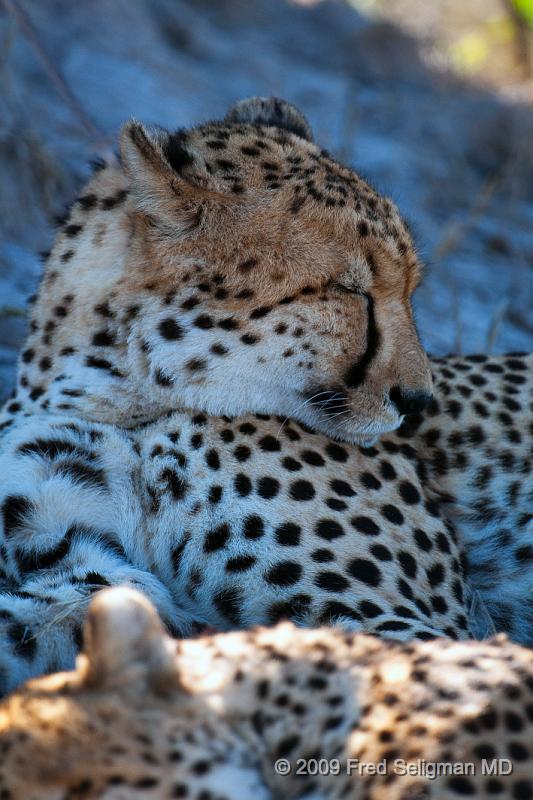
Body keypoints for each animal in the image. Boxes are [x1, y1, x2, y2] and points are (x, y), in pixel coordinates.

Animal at [0, 94, 528, 692]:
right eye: (350, 291)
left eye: (411, 288)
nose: (417, 399)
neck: (113, 395)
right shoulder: (96, 571)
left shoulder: (412, 622)